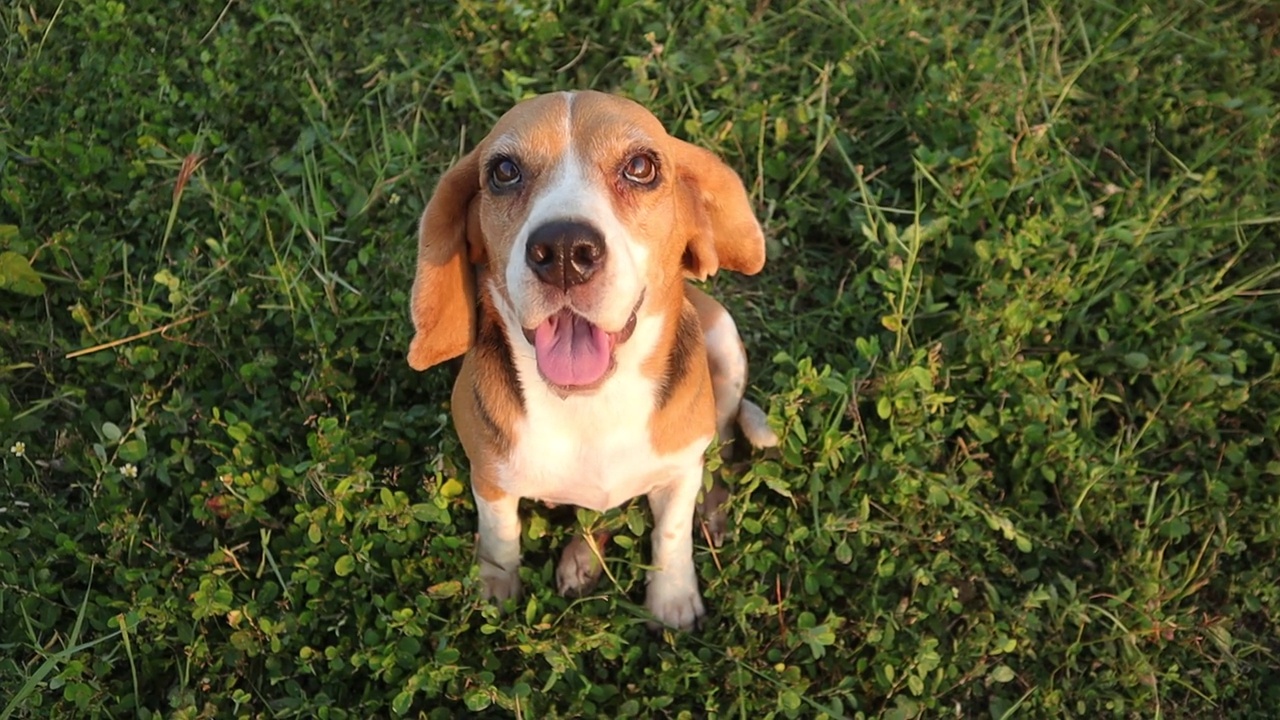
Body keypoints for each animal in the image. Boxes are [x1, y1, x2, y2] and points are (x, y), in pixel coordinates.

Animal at [407, 90, 778, 627]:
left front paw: (672, 597)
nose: (563, 250)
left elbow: (670, 534)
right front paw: (495, 587)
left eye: (641, 167)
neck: (591, 407)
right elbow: (501, 535)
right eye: (504, 171)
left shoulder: (678, 473)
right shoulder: (490, 479)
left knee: (725, 438)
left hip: (724, 341)